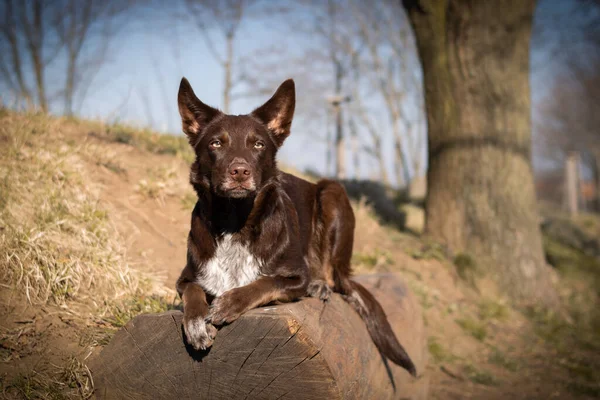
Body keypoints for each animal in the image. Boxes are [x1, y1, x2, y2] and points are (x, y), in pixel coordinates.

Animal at [176, 76, 414, 376]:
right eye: (216, 143)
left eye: (258, 145)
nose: (240, 171)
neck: (235, 223)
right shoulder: (185, 278)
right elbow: (194, 292)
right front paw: (196, 325)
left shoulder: (296, 276)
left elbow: (264, 282)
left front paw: (229, 302)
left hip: (332, 193)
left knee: (332, 274)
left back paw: (320, 284)